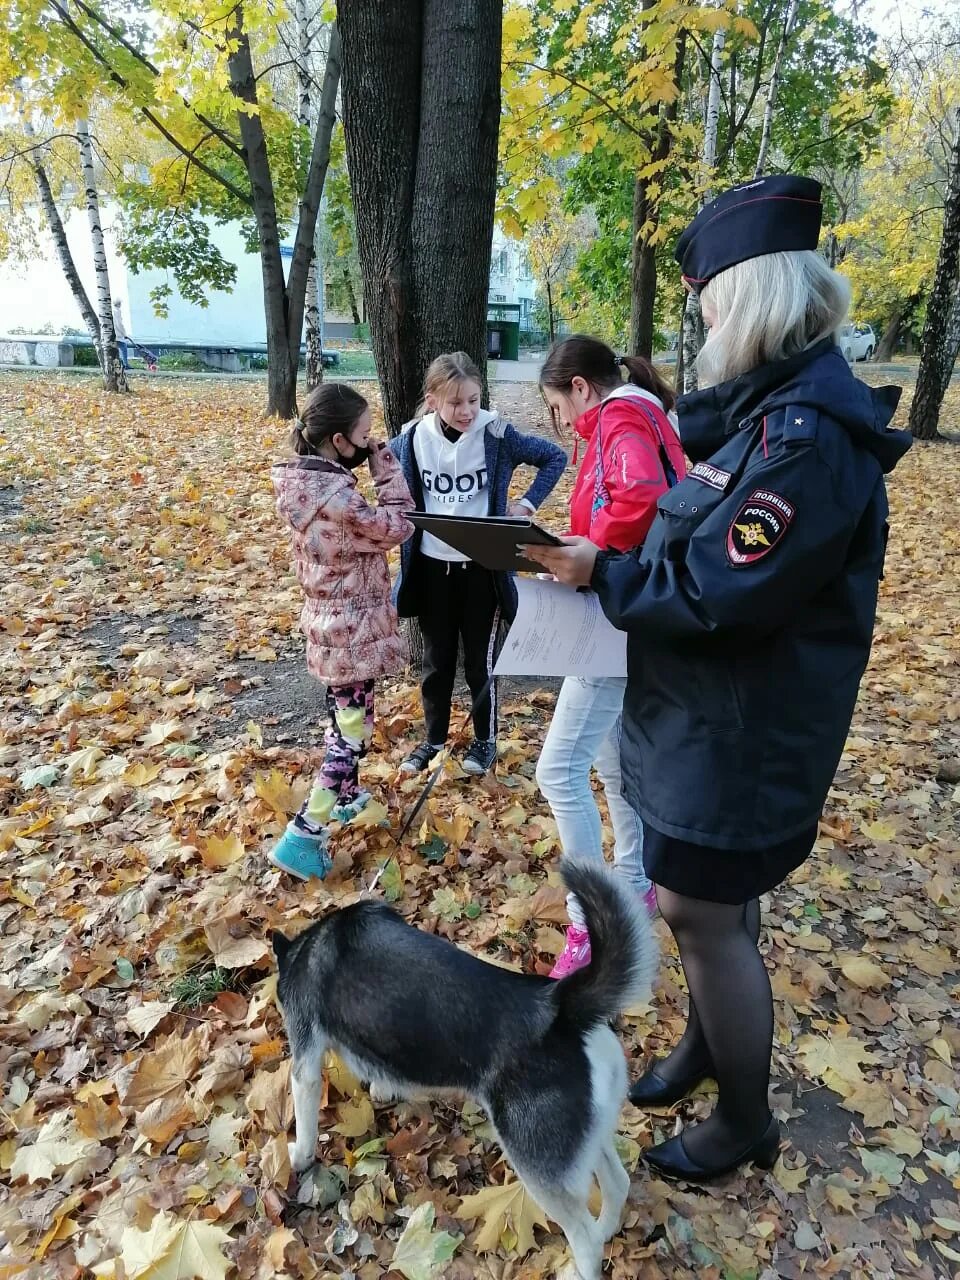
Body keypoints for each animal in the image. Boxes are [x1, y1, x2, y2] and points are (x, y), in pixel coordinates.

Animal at [273, 855, 660, 1280]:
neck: (309, 945)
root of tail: (560, 1011)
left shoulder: (305, 1062)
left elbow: (306, 1126)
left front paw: (298, 1158)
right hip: (587, 1140)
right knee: (617, 1185)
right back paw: (608, 1228)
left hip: (540, 1169)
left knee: (585, 1239)